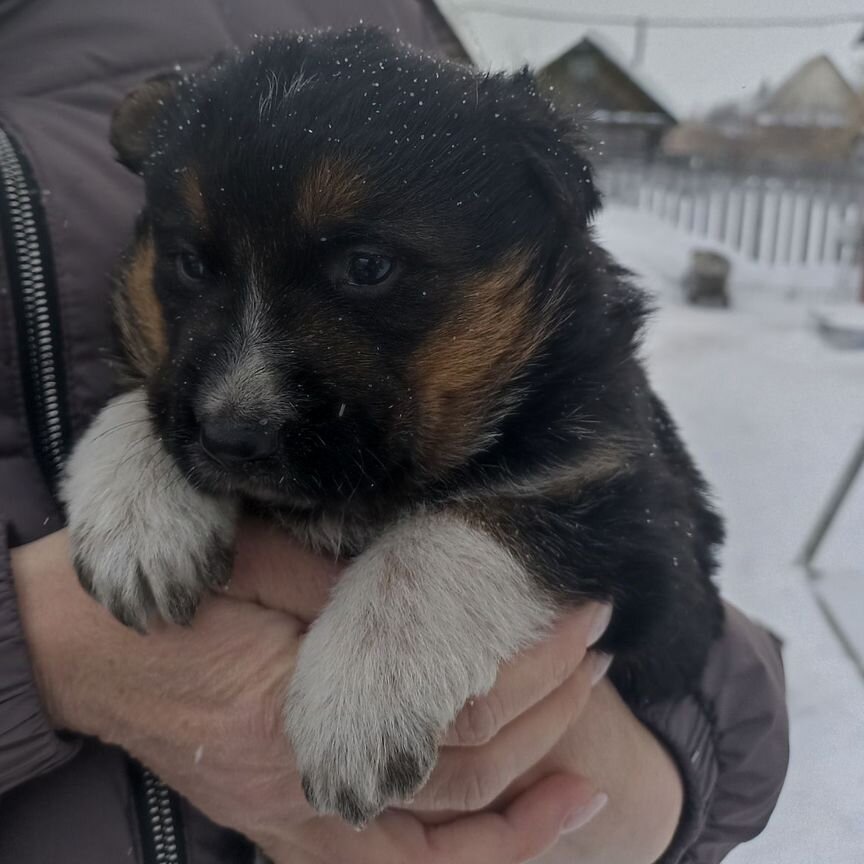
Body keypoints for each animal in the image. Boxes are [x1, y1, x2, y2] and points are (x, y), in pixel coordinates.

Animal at [60, 27, 724, 824]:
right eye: (188, 264)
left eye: (368, 267)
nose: (230, 438)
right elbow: (146, 400)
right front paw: (138, 520)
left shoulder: (647, 526)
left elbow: (455, 530)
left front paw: (358, 704)